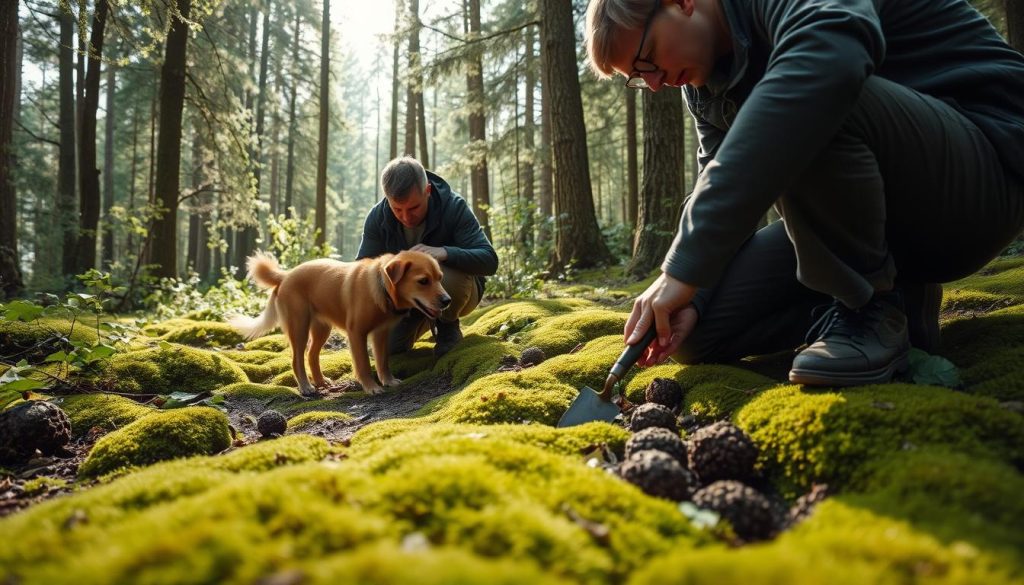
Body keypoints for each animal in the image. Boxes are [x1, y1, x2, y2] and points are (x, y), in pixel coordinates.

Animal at [230, 249, 450, 395]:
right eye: (423, 281)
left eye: (440, 278)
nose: (447, 301)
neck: (382, 287)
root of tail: (286, 274)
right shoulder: (357, 334)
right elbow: (363, 364)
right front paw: (371, 387)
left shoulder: (381, 334)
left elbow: (382, 361)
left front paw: (388, 381)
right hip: (299, 327)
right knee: (296, 359)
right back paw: (306, 386)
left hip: (321, 329)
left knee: (311, 355)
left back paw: (320, 381)